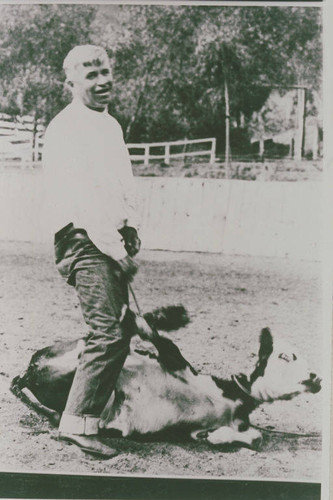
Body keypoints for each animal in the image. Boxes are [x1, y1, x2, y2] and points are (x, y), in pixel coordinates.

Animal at [11, 306, 320, 452]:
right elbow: (164, 342)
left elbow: (254, 437)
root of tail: (31, 369)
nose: (316, 377)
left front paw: (215, 437)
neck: (233, 399)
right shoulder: (176, 363)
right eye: (286, 356)